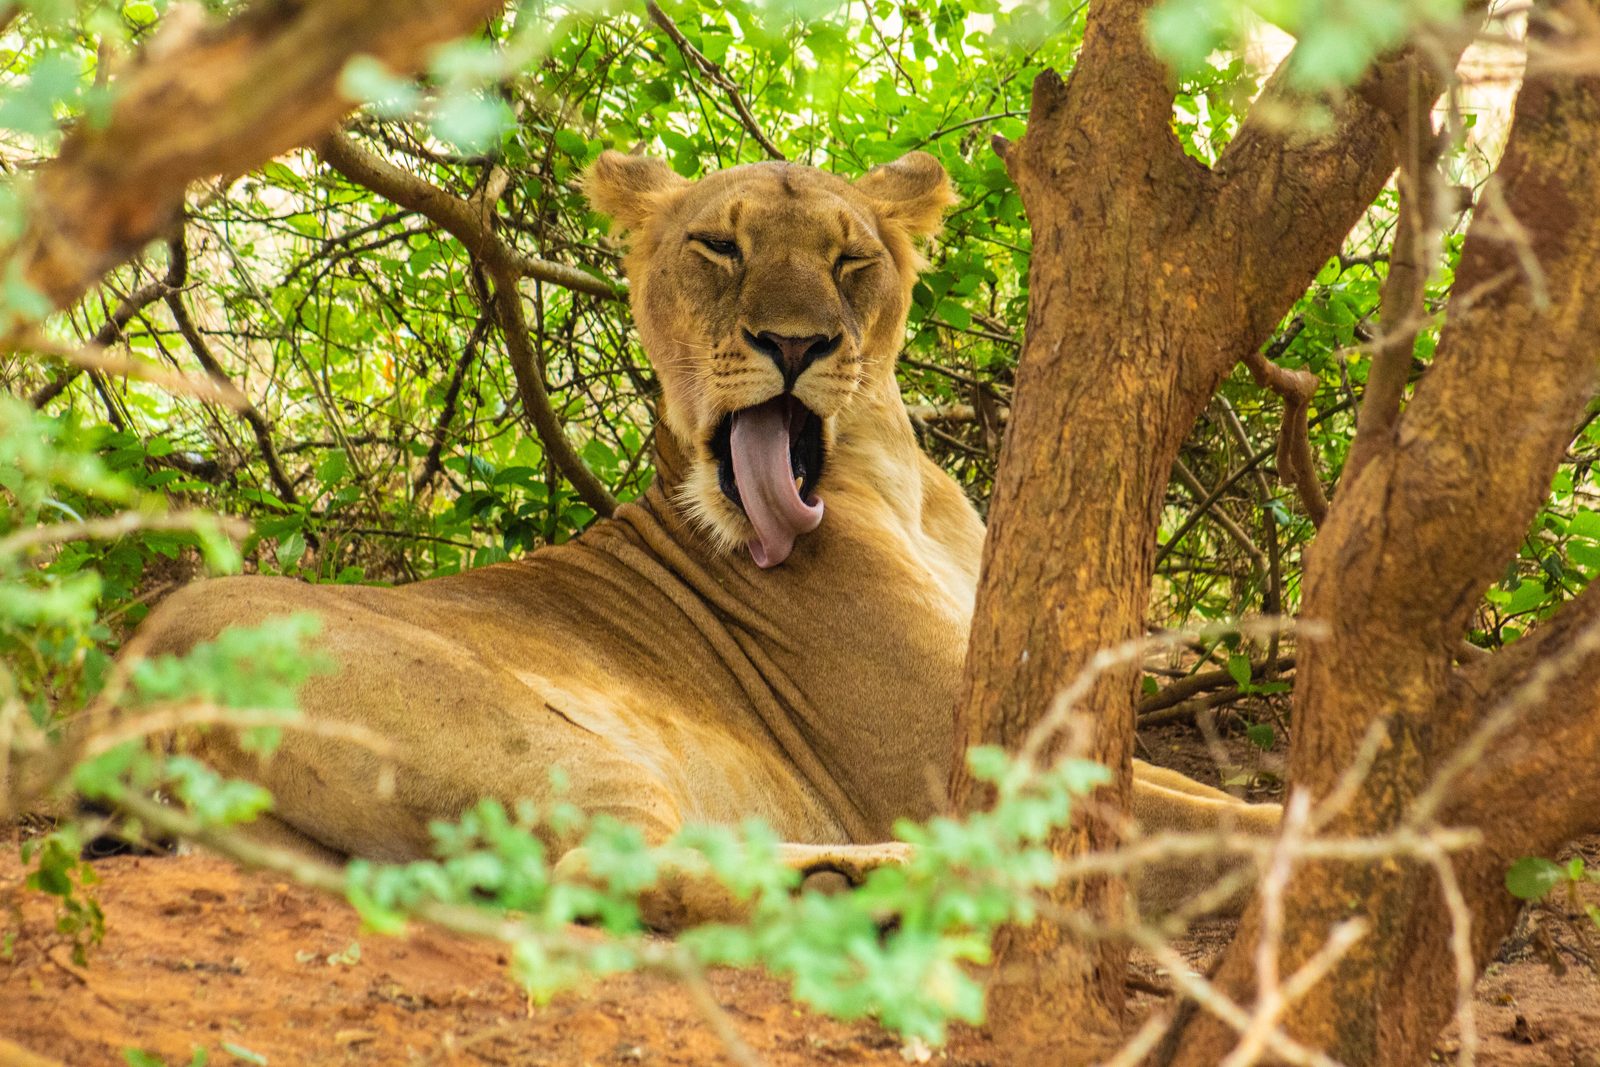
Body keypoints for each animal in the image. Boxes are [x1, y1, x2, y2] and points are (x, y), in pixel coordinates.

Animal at [128, 150, 1277, 921]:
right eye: (718, 246)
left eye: (850, 259)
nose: (793, 343)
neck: (891, 483)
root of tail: (129, 691)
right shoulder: (957, 768)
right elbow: (1247, 827)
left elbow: (1230, 798)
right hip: (547, 740)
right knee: (600, 875)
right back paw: (865, 883)